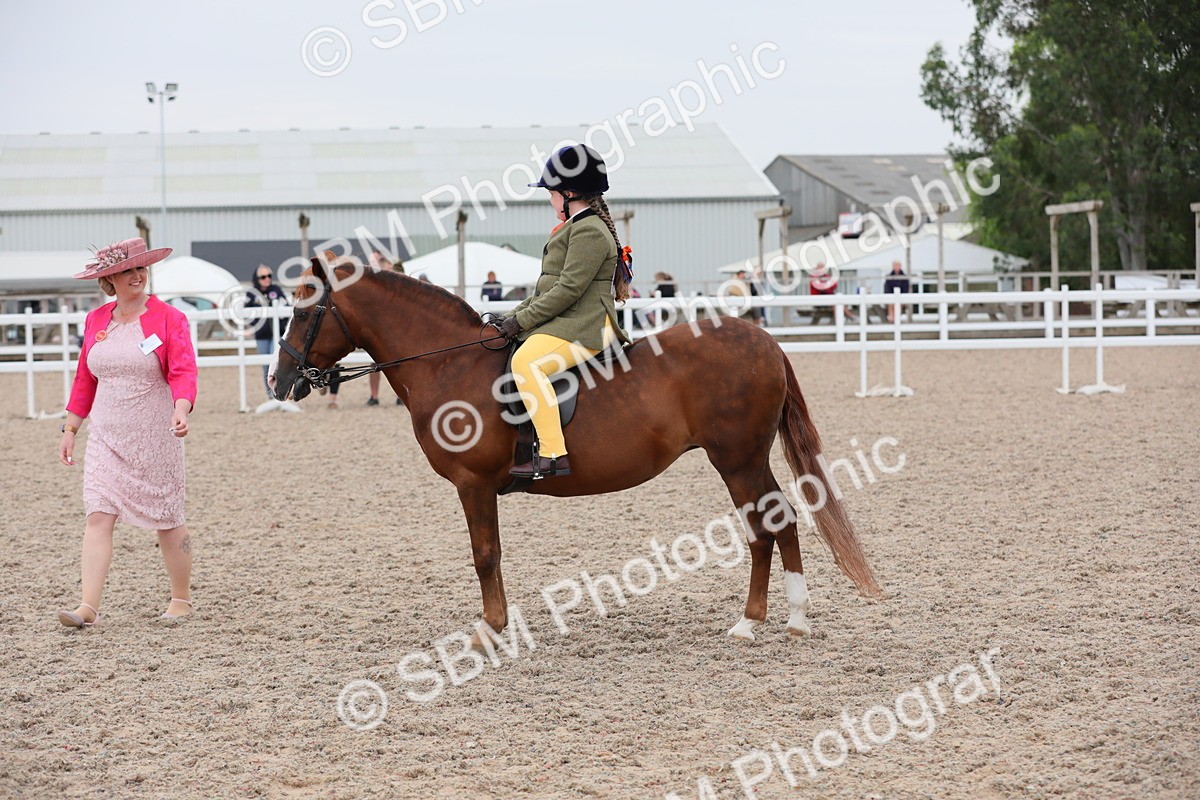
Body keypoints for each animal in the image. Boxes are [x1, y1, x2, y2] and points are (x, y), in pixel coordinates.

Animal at [268, 258, 881, 643]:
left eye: (301, 312)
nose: (278, 382)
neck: (449, 362)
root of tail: (765, 341)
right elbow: (490, 555)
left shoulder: (473, 484)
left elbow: (485, 555)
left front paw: (491, 631)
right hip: (742, 461)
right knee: (772, 525)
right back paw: (779, 619)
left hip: (738, 461)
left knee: (770, 525)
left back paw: (764, 621)